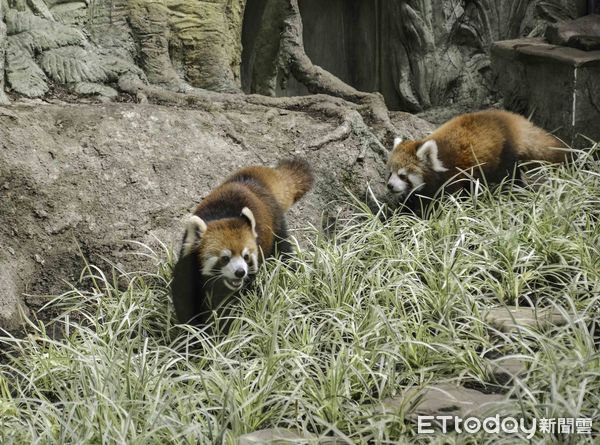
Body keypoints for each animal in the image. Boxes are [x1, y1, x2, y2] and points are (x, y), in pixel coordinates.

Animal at [170, 158, 314, 324]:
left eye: (246, 256)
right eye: (225, 258)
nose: (240, 272)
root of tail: (255, 183)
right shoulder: (188, 266)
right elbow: (185, 300)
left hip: (276, 227)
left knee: (284, 253)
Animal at [386, 110, 568, 202]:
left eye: (403, 175)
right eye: (390, 173)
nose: (390, 186)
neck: (439, 160)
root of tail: (512, 119)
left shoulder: (453, 175)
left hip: (503, 154)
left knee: (508, 175)